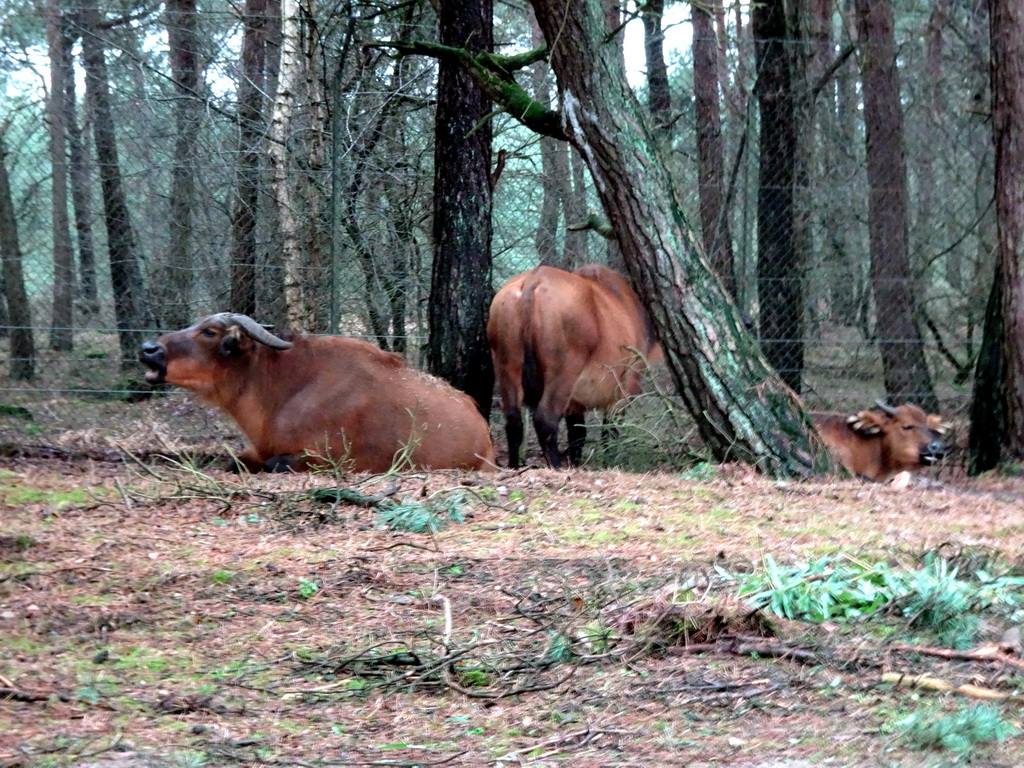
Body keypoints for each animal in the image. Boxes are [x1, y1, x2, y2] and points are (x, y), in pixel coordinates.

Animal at [139, 313, 495, 475]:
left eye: (209, 332)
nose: (148, 349)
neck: (284, 389)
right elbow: (235, 461)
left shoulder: (323, 457)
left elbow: (275, 464)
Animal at [485, 264, 659, 468]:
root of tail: (533, 280)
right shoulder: (623, 392)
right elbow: (608, 434)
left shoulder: (576, 404)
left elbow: (577, 435)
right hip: (562, 375)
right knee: (545, 420)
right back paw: (557, 466)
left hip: (507, 369)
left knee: (513, 422)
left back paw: (514, 466)